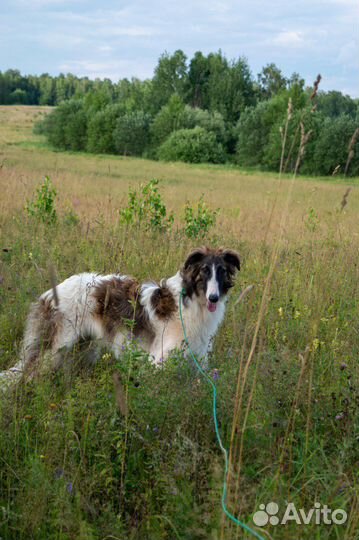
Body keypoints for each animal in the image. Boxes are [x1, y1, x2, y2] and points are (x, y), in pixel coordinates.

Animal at [2, 247, 242, 382]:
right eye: (204, 271)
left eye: (222, 272)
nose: (214, 298)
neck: (191, 300)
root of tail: (51, 293)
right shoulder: (160, 360)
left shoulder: (197, 361)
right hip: (57, 346)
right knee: (29, 373)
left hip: (83, 348)